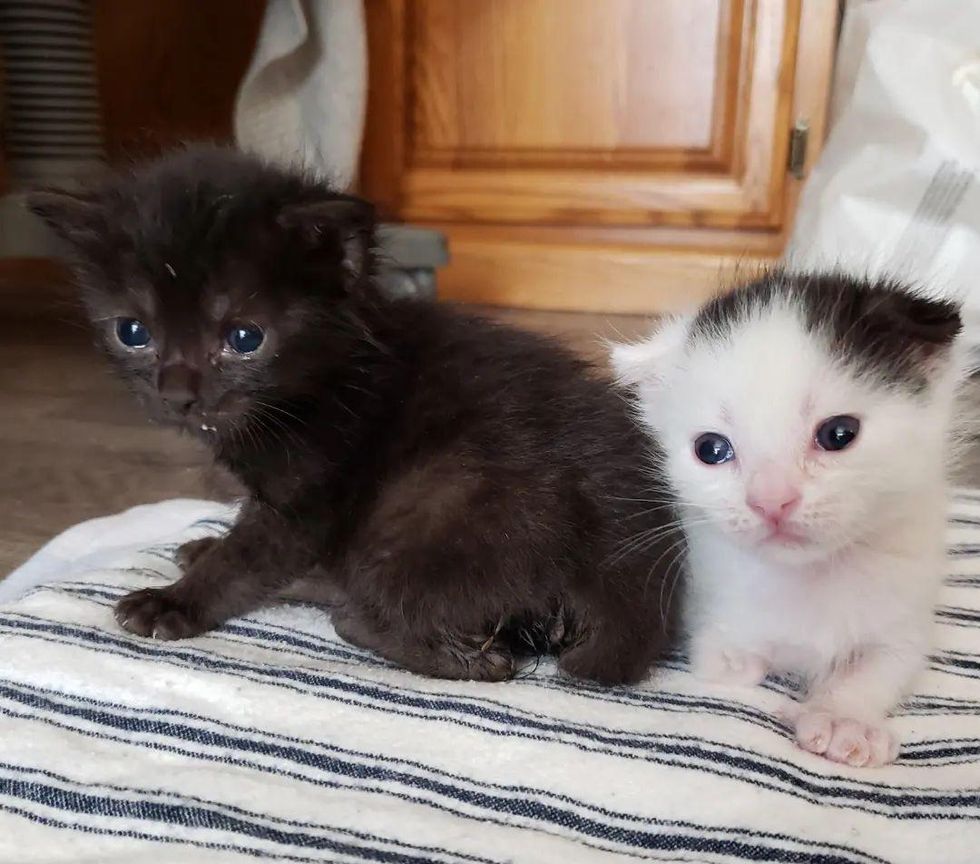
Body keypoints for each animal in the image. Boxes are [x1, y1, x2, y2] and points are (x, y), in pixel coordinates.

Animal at [24, 150, 680, 688]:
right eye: (133, 332)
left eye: (245, 337)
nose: (177, 396)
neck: (329, 374)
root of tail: (629, 568)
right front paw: (207, 547)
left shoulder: (309, 495)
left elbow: (247, 560)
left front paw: (173, 603)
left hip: (437, 505)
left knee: (400, 617)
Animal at [612, 274, 964, 768]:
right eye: (711, 449)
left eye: (838, 433)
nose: (770, 501)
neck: (810, 577)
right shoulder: (704, 606)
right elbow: (728, 662)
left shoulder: (907, 615)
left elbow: (880, 668)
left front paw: (842, 718)